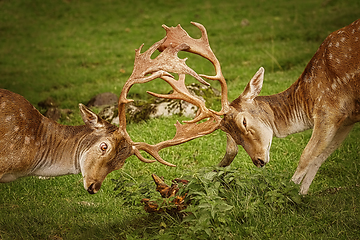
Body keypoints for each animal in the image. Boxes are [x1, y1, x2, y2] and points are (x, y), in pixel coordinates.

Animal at [102, 19, 358, 194]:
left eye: (244, 121)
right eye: (233, 137)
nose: (259, 161)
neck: (309, 96)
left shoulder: (328, 108)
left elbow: (307, 156)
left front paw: (287, 193)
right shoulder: (346, 118)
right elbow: (321, 156)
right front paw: (300, 196)